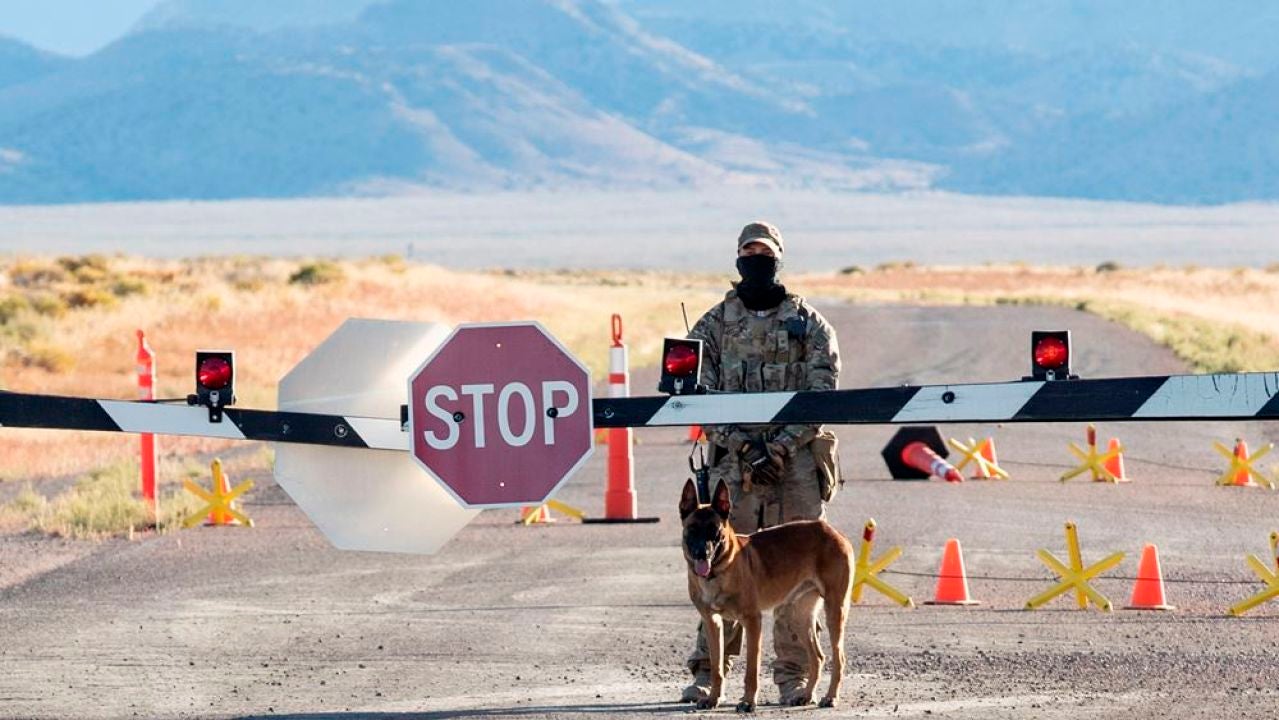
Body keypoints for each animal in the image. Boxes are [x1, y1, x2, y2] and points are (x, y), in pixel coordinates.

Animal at [675, 480, 854, 711]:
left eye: (714, 530)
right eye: (692, 529)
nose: (701, 554)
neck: (719, 571)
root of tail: (834, 532)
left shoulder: (752, 621)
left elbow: (751, 669)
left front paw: (748, 701)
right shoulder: (712, 622)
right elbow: (716, 667)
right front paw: (713, 698)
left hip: (834, 610)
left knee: (839, 657)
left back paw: (830, 697)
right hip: (798, 616)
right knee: (817, 657)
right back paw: (805, 695)